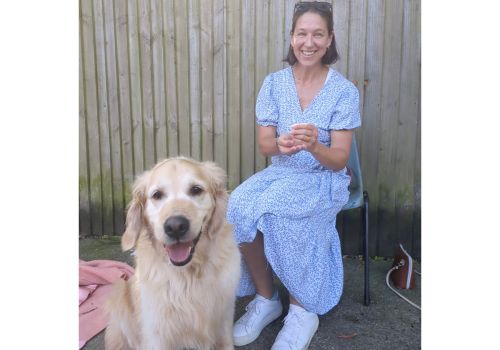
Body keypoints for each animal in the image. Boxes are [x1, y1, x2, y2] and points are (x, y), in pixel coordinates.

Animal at [104, 158, 241, 350]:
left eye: (196, 190)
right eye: (157, 195)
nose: (175, 226)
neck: (189, 273)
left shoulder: (224, 318)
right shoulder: (157, 333)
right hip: (119, 294)